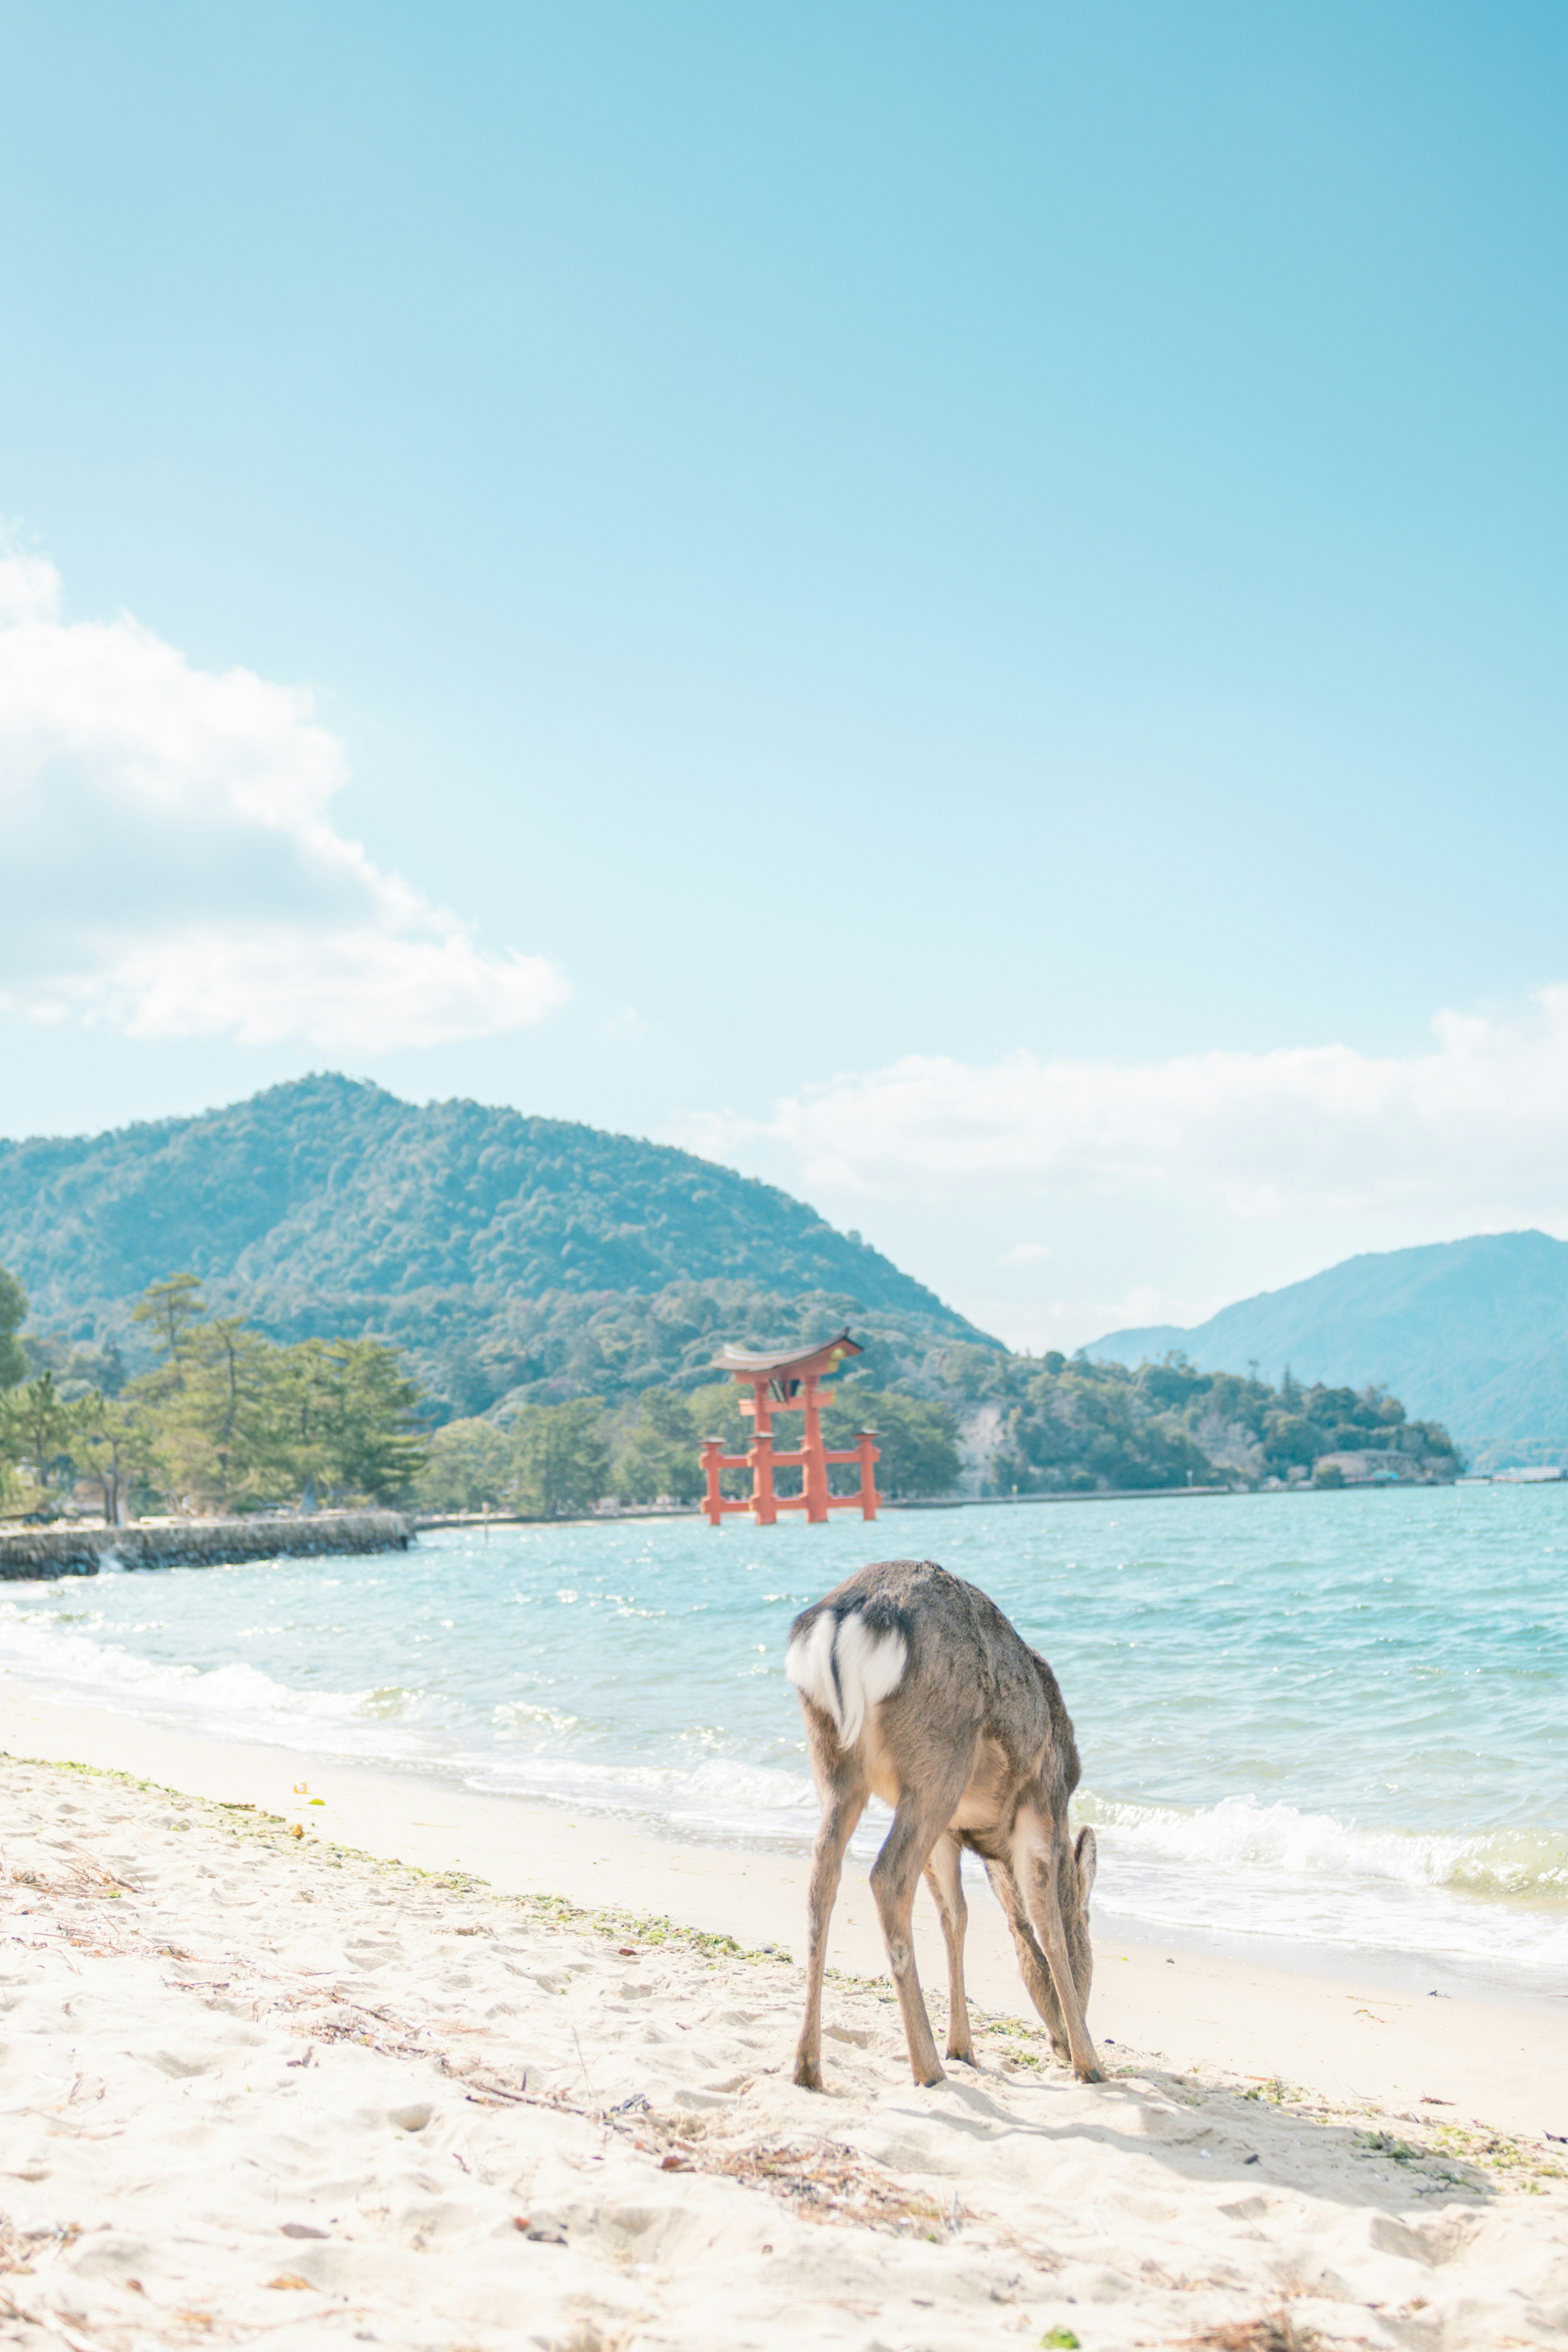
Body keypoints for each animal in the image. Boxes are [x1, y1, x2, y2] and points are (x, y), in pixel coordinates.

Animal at [785, 1557, 1100, 2091]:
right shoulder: (1044, 1803)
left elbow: (957, 1917)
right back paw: (926, 2068)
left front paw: (964, 2048)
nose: (1058, 2043)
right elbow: (1047, 1926)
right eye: (1089, 1922)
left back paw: (808, 2066)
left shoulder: (951, 1833)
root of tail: (845, 1619)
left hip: (834, 1761)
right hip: (938, 1759)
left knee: (821, 1875)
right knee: (887, 1875)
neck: (992, 1841)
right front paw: (1090, 2064)